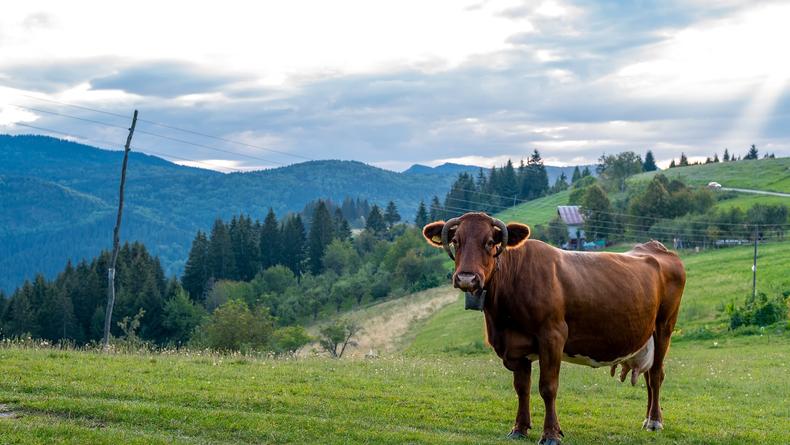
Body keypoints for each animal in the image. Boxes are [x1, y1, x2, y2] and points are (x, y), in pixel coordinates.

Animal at [424, 212, 688, 444]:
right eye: (456, 241)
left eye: (490, 242)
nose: (466, 278)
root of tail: (656, 248)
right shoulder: (514, 347)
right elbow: (522, 388)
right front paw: (519, 429)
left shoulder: (552, 337)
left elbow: (548, 387)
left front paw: (550, 434)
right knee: (649, 376)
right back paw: (647, 419)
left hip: (664, 326)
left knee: (656, 374)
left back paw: (654, 421)